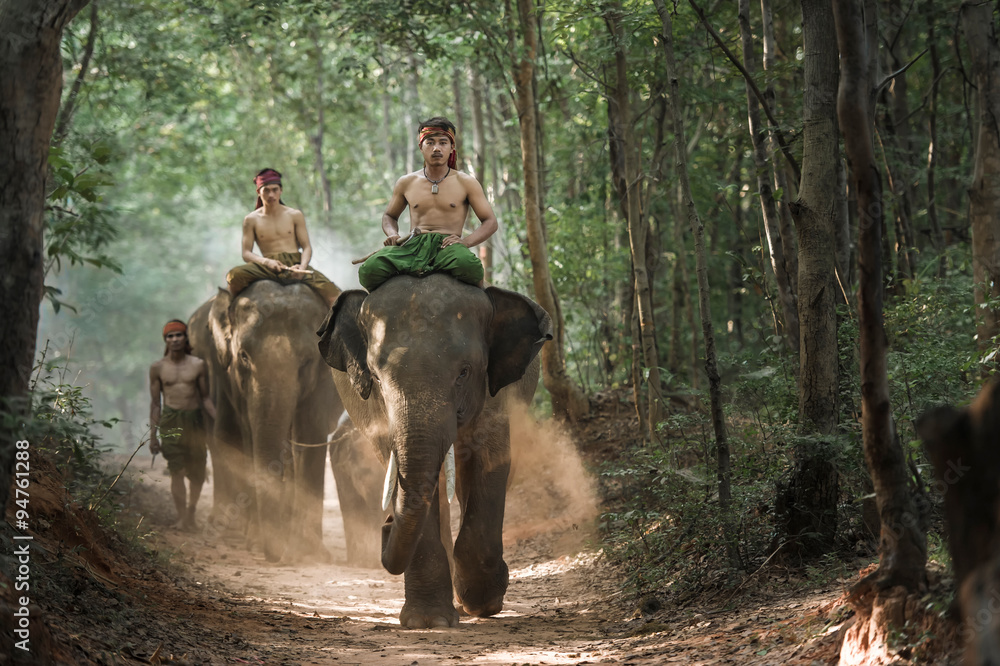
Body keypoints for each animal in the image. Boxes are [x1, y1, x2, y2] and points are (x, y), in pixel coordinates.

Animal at [188, 279, 351, 562]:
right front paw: (257, 541)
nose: (274, 556)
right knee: (223, 436)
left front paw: (310, 552)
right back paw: (230, 532)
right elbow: (248, 434)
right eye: (243, 356)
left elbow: (309, 433)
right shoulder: (231, 376)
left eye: (307, 361)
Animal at [317, 273, 553, 628]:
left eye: (464, 372)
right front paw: (429, 621)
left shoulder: (496, 392)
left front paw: (483, 603)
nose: (386, 525)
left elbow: (489, 461)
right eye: (376, 378)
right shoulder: (375, 411)